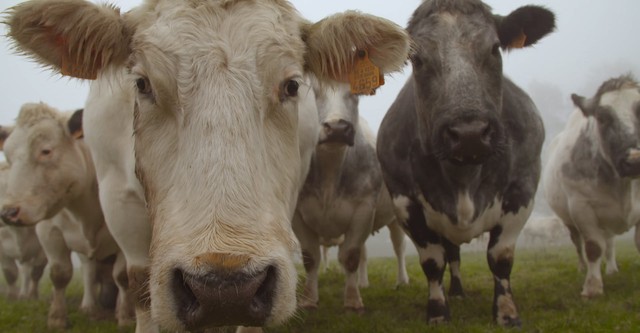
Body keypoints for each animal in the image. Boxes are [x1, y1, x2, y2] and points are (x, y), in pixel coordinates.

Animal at [296, 80, 410, 312]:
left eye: (355, 94)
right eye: (313, 92)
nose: (337, 127)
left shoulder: (363, 210)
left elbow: (350, 256)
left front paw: (352, 302)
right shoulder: (297, 215)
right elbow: (311, 257)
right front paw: (308, 300)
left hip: (395, 218)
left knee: (399, 247)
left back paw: (402, 280)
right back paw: (363, 282)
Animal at [378, 0, 552, 326]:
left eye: (495, 48)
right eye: (417, 59)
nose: (469, 134)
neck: (463, 178)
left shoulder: (522, 190)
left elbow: (500, 257)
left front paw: (507, 312)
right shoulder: (404, 200)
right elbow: (433, 262)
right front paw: (437, 311)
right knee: (452, 254)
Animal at [544, 76, 640, 298]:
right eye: (603, 118)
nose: (634, 160)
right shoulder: (582, 208)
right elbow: (593, 247)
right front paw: (593, 286)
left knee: (610, 243)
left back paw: (612, 268)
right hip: (569, 221)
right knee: (579, 244)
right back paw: (582, 267)